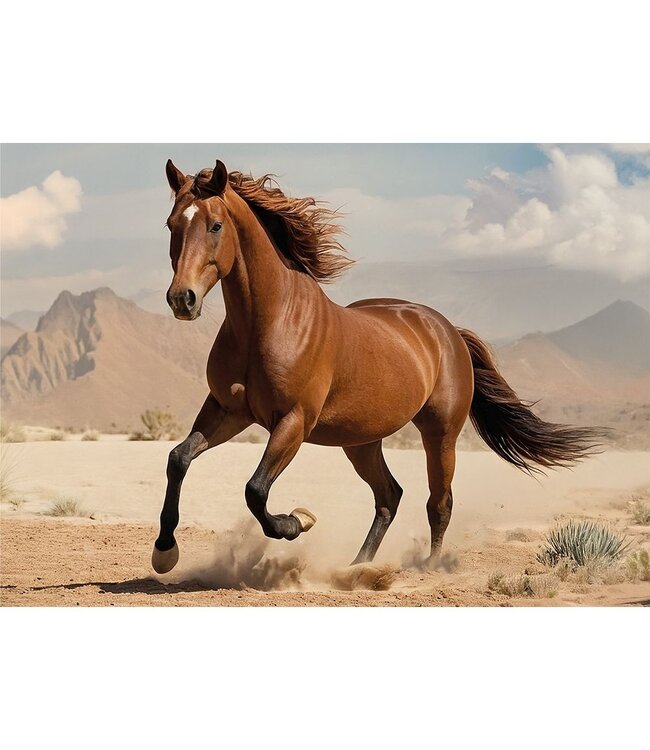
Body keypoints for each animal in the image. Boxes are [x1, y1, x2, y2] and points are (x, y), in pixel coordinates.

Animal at [151, 159, 602, 575]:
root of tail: (448, 331)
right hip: (362, 441)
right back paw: (356, 568)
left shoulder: (293, 422)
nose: (182, 299)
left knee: (438, 502)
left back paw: (427, 568)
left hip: (439, 434)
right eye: (172, 225)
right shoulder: (229, 410)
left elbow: (256, 489)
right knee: (389, 497)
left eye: (215, 226)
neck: (271, 321)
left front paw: (298, 522)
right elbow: (178, 459)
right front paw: (164, 551)